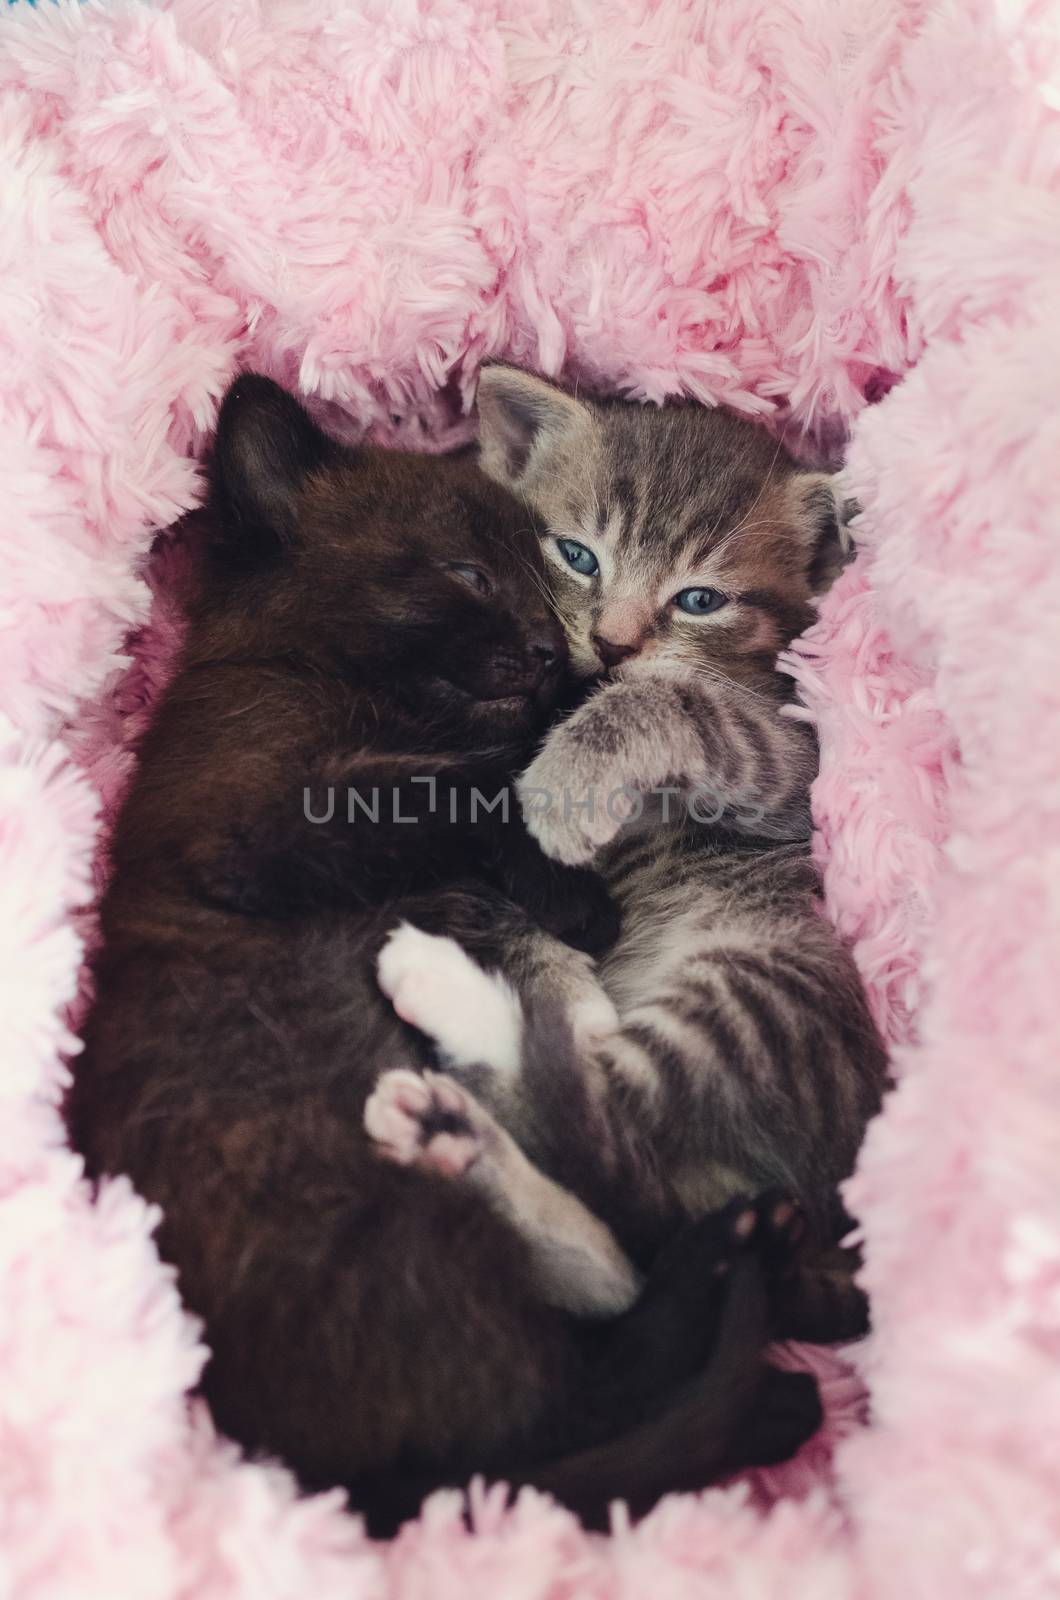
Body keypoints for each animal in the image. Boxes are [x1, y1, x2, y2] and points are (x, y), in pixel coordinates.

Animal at [377, 371, 890, 1337]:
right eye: (578, 556)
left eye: (700, 601)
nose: (614, 642)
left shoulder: (792, 758)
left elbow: (678, 703)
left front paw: (564, 779)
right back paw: (454, 1139)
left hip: (759, 1001)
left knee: (605, 1121)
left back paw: (449, 995)